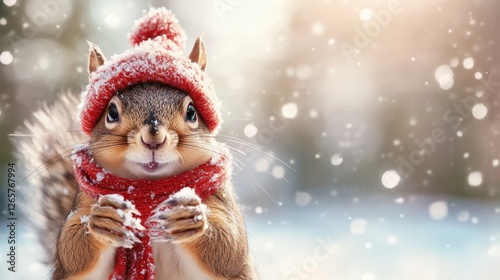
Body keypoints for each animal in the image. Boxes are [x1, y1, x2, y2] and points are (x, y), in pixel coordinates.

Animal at [16, 7, 258, 280]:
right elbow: (72, 251)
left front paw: (191, 216)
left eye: (192, 112)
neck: (149, 188)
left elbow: (228, 249)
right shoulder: (83, 202)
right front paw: (104, 219)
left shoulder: (220, 199)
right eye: (111, 112)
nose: (154, 137)